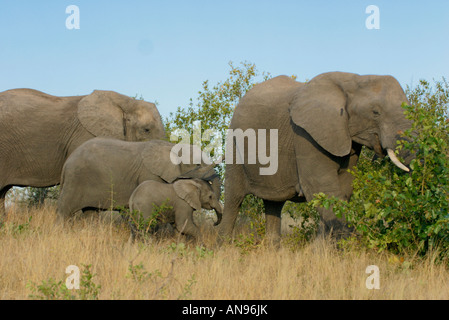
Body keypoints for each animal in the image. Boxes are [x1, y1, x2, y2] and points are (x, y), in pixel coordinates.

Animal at [218, 72, 412, 242]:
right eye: (375, 112)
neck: (354, 79)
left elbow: (341, 190)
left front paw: (320, 250)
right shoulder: (306, 136)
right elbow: (320, 188)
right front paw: (352, 245)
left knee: (274, 203)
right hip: (234, 145)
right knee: (234, 200)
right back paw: (224, 250)